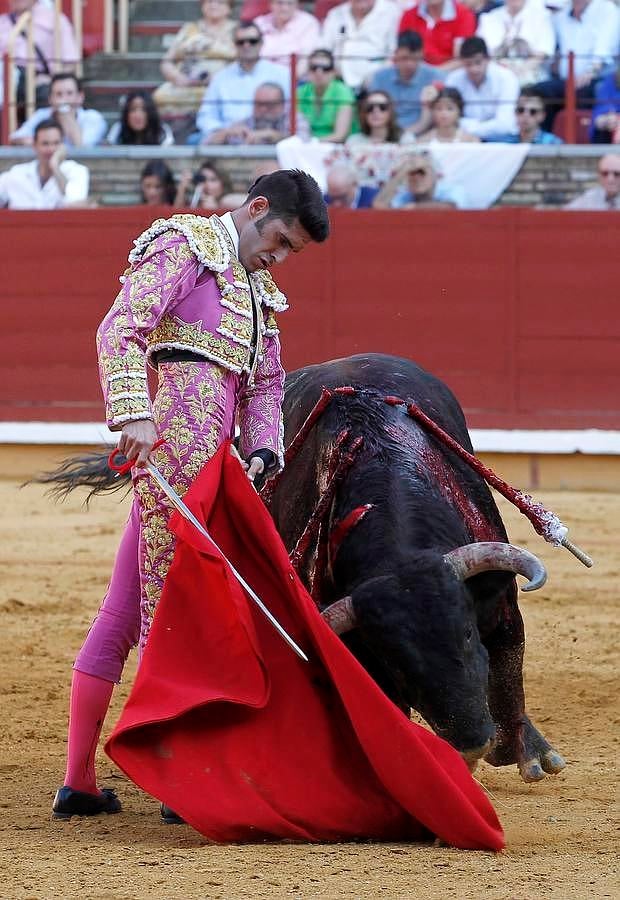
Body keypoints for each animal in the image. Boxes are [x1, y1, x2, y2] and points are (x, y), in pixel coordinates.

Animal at [264, 356, 564, 784]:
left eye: (467, 632)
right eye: (397, 663)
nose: (472, 742)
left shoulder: (501, 606)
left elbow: (509, 669)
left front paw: (523, 752)